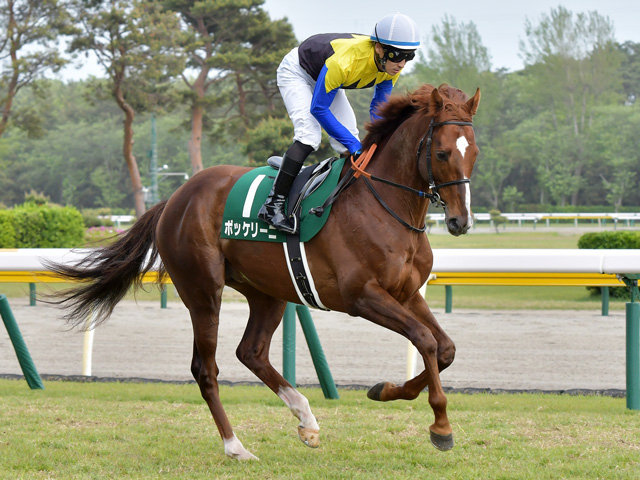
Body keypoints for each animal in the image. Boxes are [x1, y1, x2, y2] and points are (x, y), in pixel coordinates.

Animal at [47, 83, 480, 462]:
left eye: (473, 151)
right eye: (442, 153)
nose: (460, 222)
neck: (384, 206)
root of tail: (174, 198)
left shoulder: (407, 293)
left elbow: (445, 348)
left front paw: (385, 390)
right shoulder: (362, 296)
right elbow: (424, 340)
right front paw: (441, 426)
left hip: (268, 291)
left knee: (250, 352)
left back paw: (306, 419)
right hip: (203, 290)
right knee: (206, 369)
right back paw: (236, 447)